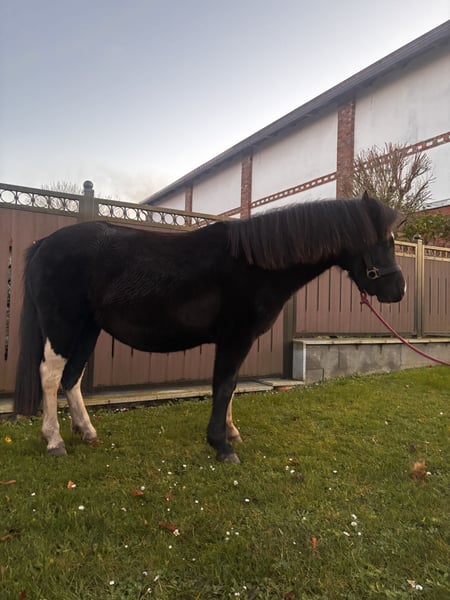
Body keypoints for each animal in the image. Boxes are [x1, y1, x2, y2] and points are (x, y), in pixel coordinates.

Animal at [14, 192, 405, 462]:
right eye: (382, 242)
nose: (398, 290)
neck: (253, 264)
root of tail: (44, 244)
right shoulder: (235, 337)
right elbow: (225, 385)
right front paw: (221, 445)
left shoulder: (236, 340)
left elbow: (229, 387)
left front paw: (230, 433)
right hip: (63, 326)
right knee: (50, 375)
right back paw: (54, 440)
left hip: (87, 329)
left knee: (72, 377)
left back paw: (87, 432)